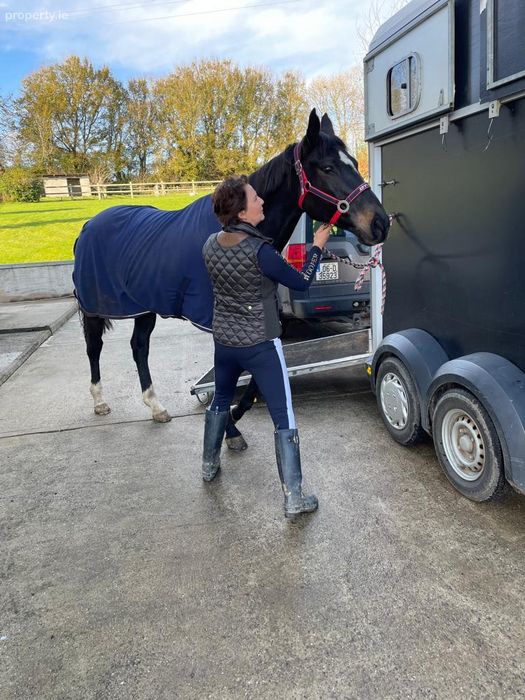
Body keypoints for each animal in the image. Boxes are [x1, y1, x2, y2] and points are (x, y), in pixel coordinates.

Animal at [73, 109, 390, 445]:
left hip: (144, 306)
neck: (235, 230)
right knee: (94, 347)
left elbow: (255, 379)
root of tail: (89, 225)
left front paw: (234, 418)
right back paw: (100, 401)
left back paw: (156, 406)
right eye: (328, 167)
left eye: (353, 162)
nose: (380, 223)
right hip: (95, 307)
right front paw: (229, 427)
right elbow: (226, 376)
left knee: (139, 347)